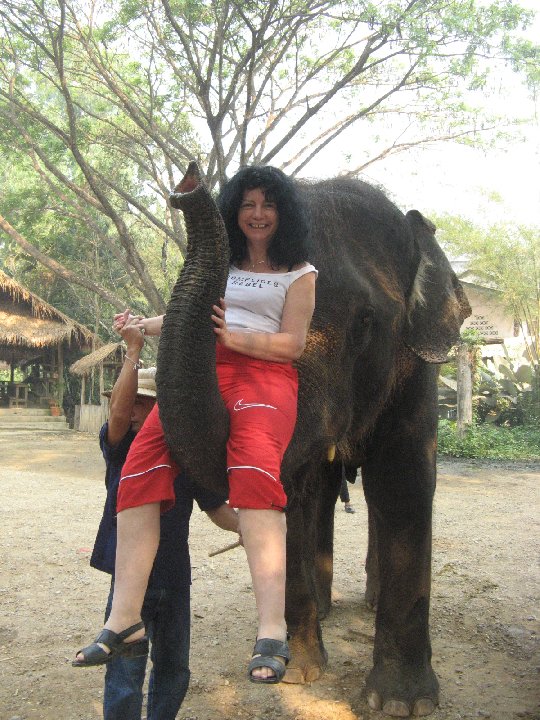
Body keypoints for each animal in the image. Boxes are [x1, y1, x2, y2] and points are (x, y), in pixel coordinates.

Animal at [156, 160, 468, 716]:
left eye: (366, 321)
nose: (188, 183)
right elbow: (294, 497)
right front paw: (299, 674)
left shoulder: (418, 371)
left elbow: (405, 483)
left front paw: (401, 703)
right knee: (319, 495)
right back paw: (323, 611)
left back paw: (369, 602)